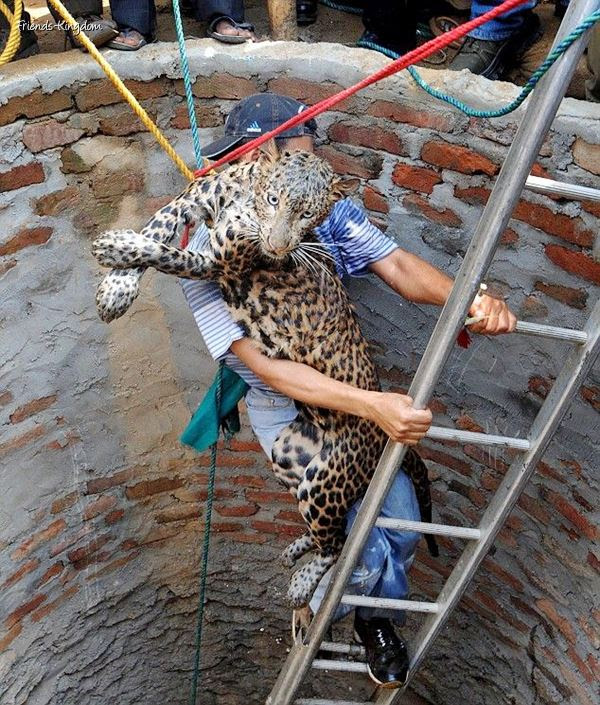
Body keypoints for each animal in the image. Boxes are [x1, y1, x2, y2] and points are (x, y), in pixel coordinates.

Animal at [92, 145, 438, 608]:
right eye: (274, 200)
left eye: (309, 214)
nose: (277, 244)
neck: (244, 197)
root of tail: (382, 438)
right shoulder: (190, 203)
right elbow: (158, 227)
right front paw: (116, 287)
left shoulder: (220, 259)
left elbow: (168, 254)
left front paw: (117, 245)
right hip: (288, 452)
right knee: (331, 528)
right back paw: (295, 551)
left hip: (324, 481)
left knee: (338, 542)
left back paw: (302, 583)